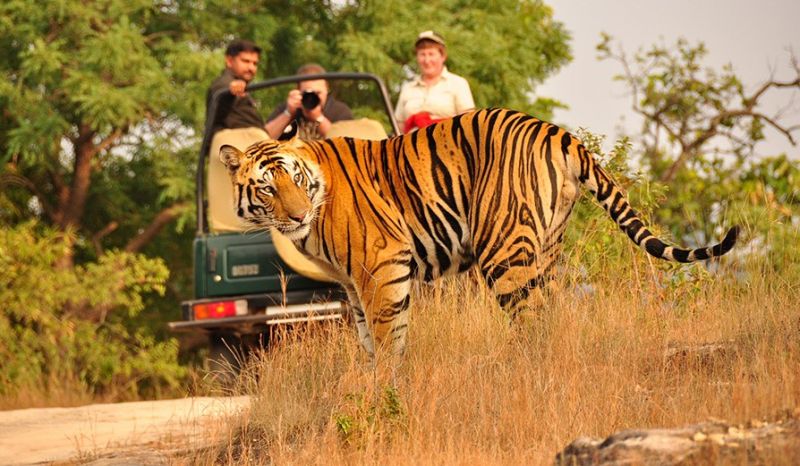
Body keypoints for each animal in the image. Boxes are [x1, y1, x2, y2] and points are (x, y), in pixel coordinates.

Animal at [219, 107, 736, 358]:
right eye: (267, 188)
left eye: (294, 179)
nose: (297, 215)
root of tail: (558, 132)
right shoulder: (353, 285)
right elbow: (370, 340)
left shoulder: (381, 267)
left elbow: (388, 341)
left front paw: (385, 395)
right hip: (546, 248)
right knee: (552, 314)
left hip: (503, 250)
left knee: (531, 321)